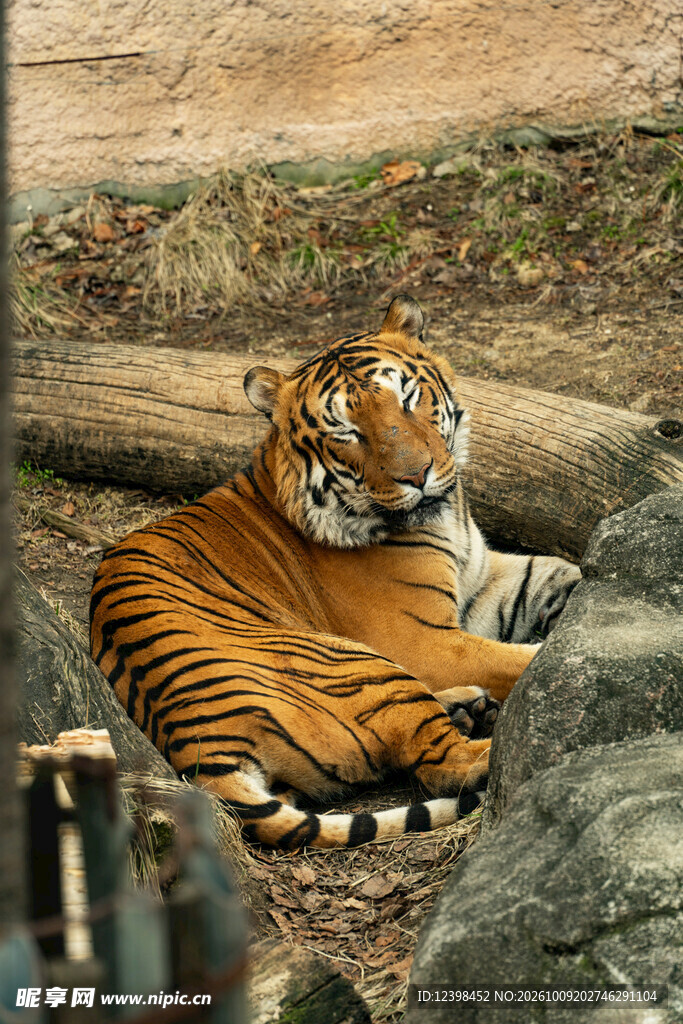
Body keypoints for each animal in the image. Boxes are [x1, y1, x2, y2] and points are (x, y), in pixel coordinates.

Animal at [90, 294, 581, 849]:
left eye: (408, 398)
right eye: (346, 431)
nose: (417, 476)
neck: (445, 517)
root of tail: (196, 746)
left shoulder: (482, 582)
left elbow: (554, 574)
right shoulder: (426, 640)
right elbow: (519, 660)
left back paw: (467, 707)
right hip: (357, 664)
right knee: (450, 765)